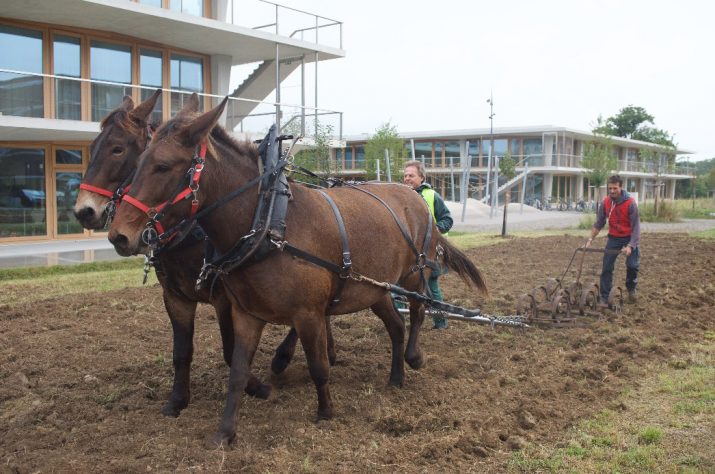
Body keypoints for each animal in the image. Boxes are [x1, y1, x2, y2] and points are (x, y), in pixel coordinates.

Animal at [74, 90, 314, 416]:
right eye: (92, 147)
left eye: (117, 149)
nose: (84, 211)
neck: (192, 231)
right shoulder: (175, 297)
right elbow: (181, 351)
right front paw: (177, 400)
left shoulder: (224, 296)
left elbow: (230, 349)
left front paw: (256, 387)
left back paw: (283, 357)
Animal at [107, 96, 486, 444]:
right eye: (138, 162)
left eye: (163, 166)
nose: (118, 234)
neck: (268, 222)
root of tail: (414, 196)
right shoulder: (246, 313)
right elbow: (237, 369)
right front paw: (225, 432)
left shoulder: (308, 313)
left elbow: (318, 366)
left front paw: (325, 411)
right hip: (374, 288)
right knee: (395, 325)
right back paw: (395, 377)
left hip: (413, 274)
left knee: (420, 310)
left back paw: (413, 357)